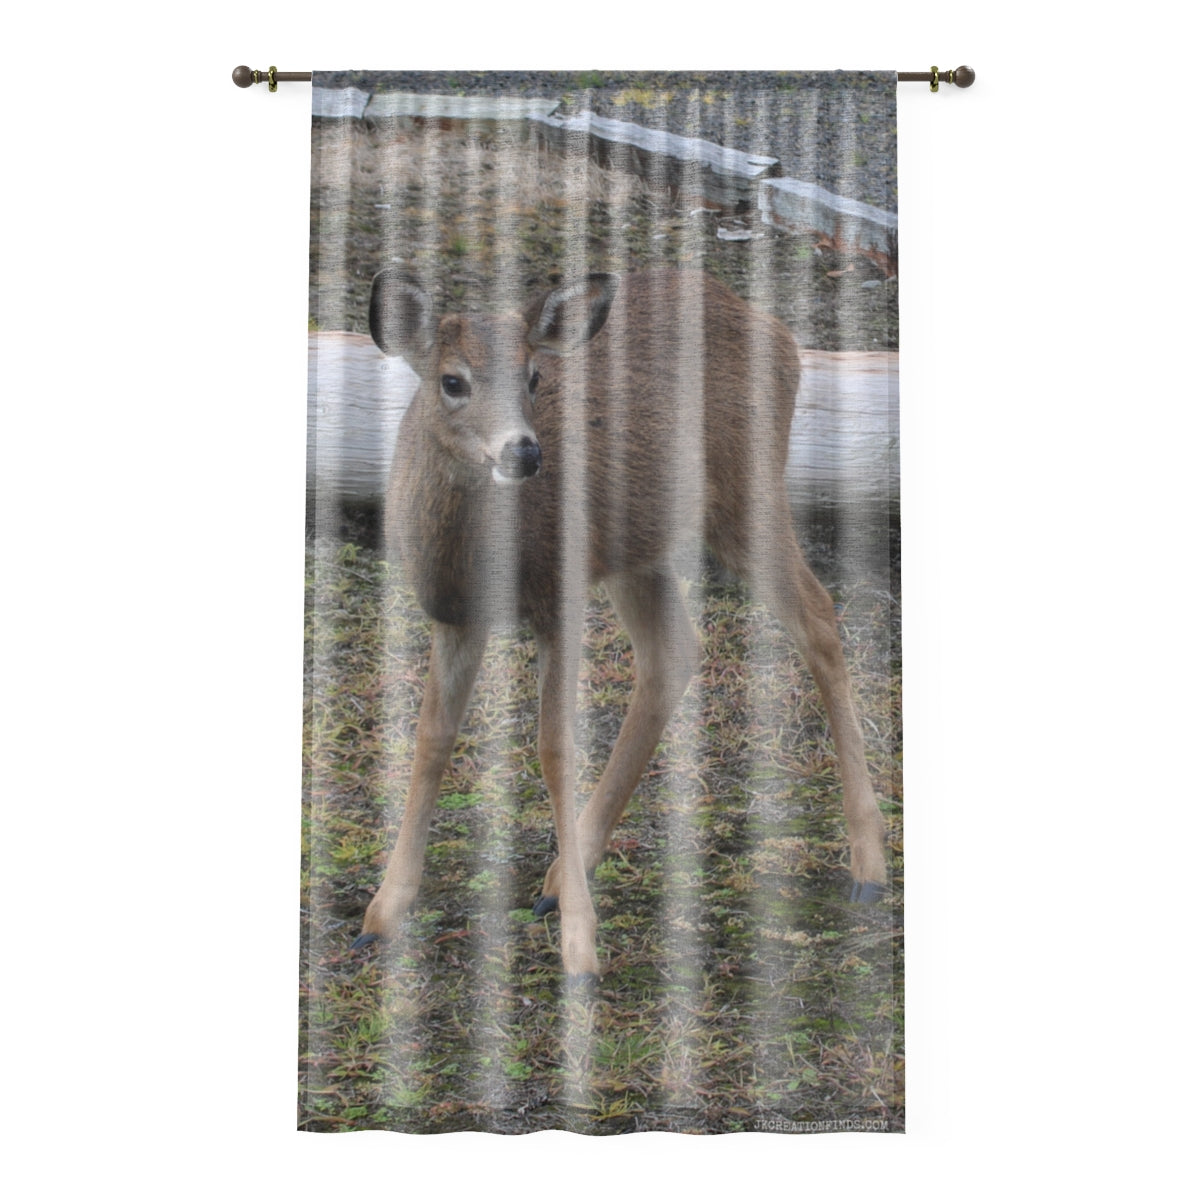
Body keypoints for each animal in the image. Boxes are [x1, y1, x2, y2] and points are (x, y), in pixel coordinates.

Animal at [353, 266, 888, 982]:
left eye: (534, 376)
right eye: (452, 381)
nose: (526, 453)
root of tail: (781, 337)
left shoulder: (557, 598)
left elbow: (554, 748)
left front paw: (581, 949)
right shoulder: (453, 617)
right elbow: (431, 739)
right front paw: (382, 914)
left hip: (744, 491)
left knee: (819, 616)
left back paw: (869, 865)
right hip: (639, 545)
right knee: (676, 653)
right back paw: (562, 872)